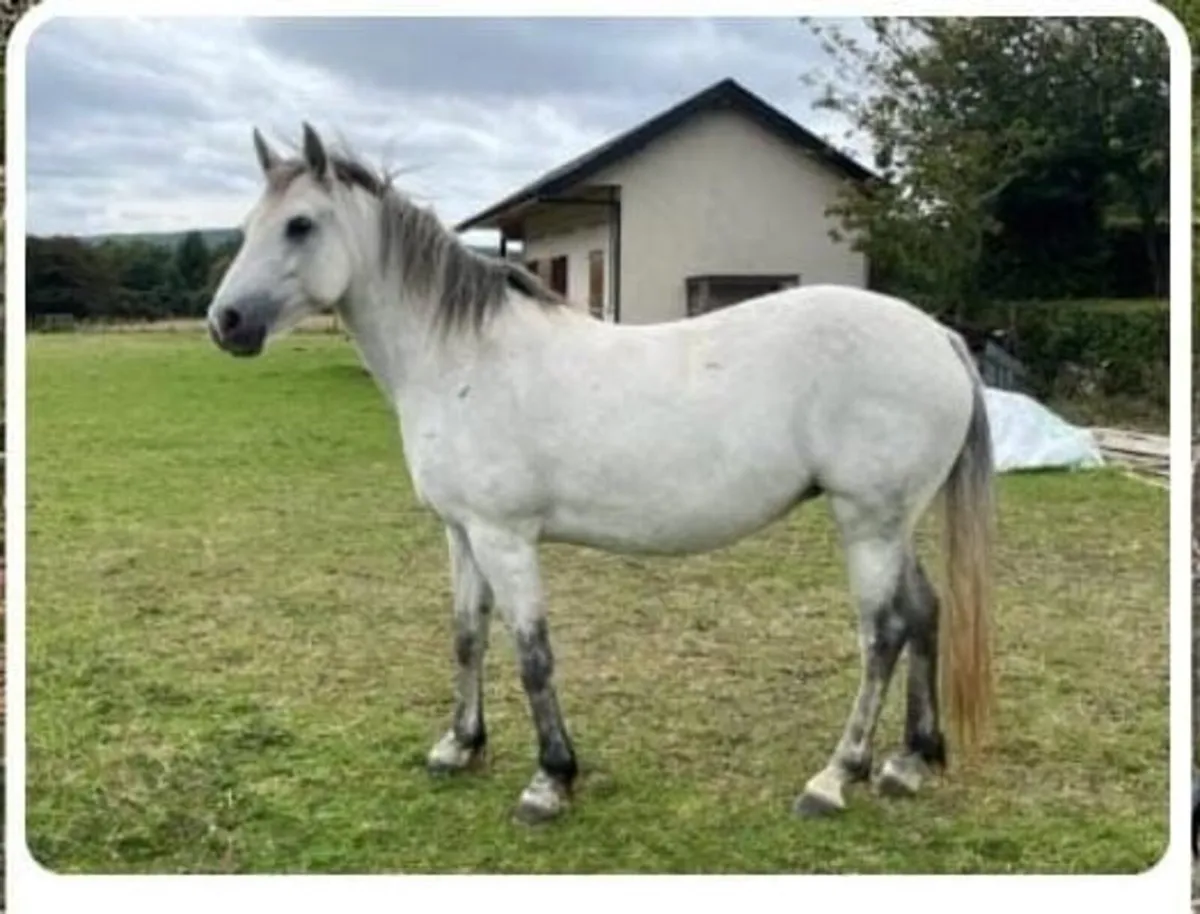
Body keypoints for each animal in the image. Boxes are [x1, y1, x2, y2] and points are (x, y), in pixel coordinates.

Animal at [205, 123, 996, 825]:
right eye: (248, 225)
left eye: (300, 225)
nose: (226, 322)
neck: (464, 360)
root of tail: (938, 336)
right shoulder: (461, 533)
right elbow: (466, 636)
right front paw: (460, 746)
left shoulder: (504, 537)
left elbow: (532, 654)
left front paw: (550, 780)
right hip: (893, 523)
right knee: (924, 614)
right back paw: (911, 761)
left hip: (868, 522)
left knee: (883, 634)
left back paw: (836, 777)